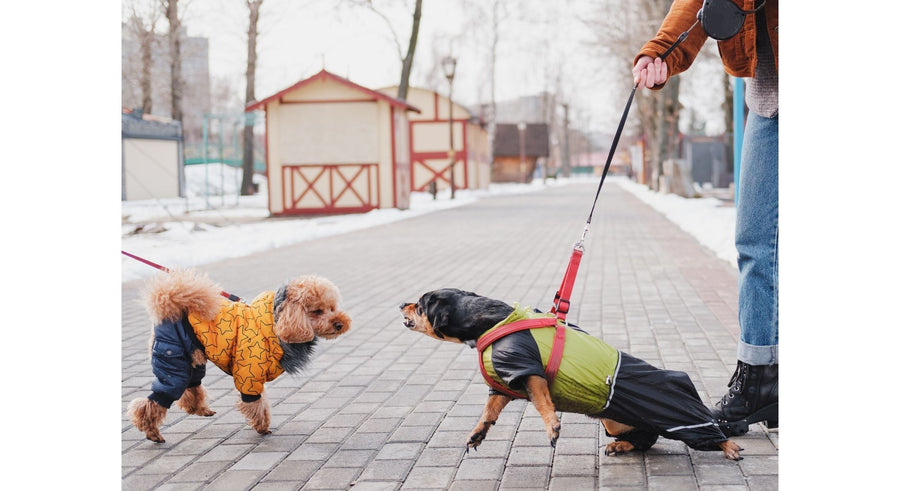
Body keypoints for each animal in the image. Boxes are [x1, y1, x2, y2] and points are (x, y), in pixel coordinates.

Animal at [402, 288, 744, 462]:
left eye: (419, 305)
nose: (401, 303)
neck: (490, 321)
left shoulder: (528, 371)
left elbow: (543, 403)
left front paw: (552, 427)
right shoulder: (505, 381)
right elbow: (489, 411)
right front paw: (477, 433)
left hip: (681, 416)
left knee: (709, 431)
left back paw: (729, 447)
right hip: (615, 421)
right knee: (646, 439)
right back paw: (621, 446)